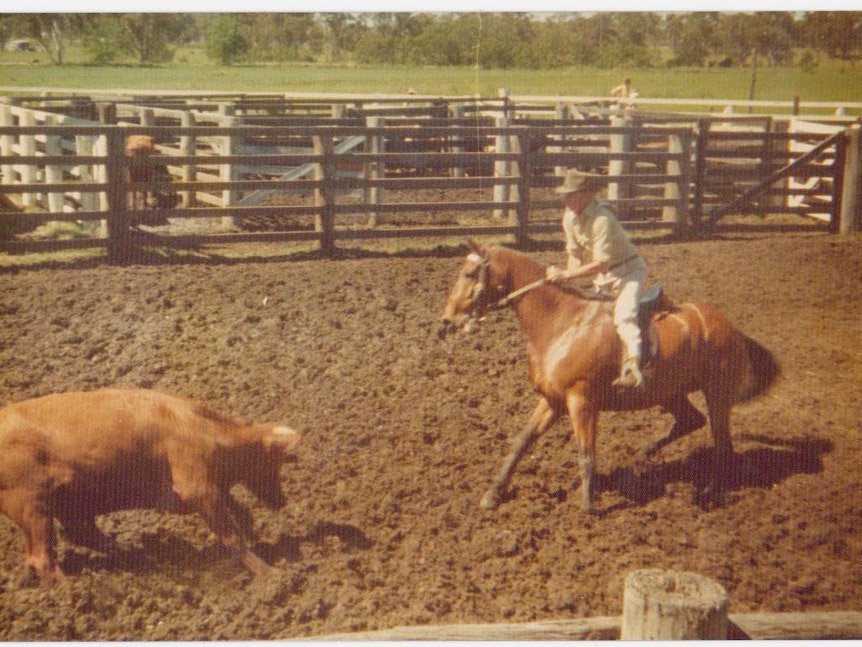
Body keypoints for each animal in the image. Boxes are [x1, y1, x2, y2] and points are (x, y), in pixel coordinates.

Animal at [0, 390, 304, 588]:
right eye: (273, 461)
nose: (282, 501)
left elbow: (240, 512)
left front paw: (258, 535)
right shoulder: (193, 482)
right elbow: (232, 536)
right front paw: (272, 574)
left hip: (68, 501)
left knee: (83, 533)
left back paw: (140, 555)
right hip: (30, 502)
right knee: (40, 556)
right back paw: (71, 590)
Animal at [442, 240, 780, 512]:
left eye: (469, 274)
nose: (446, 320)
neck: (561, 323)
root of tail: (730, 327)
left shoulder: (581, 402)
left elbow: (586, 454)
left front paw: (588, 506)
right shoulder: (552, 400)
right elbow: (521, 442)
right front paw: (493, 494)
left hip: (718, 394)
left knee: (723, 445)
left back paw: (710, 491)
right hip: (668, 392)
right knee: (691, 421)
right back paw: (646, 453)